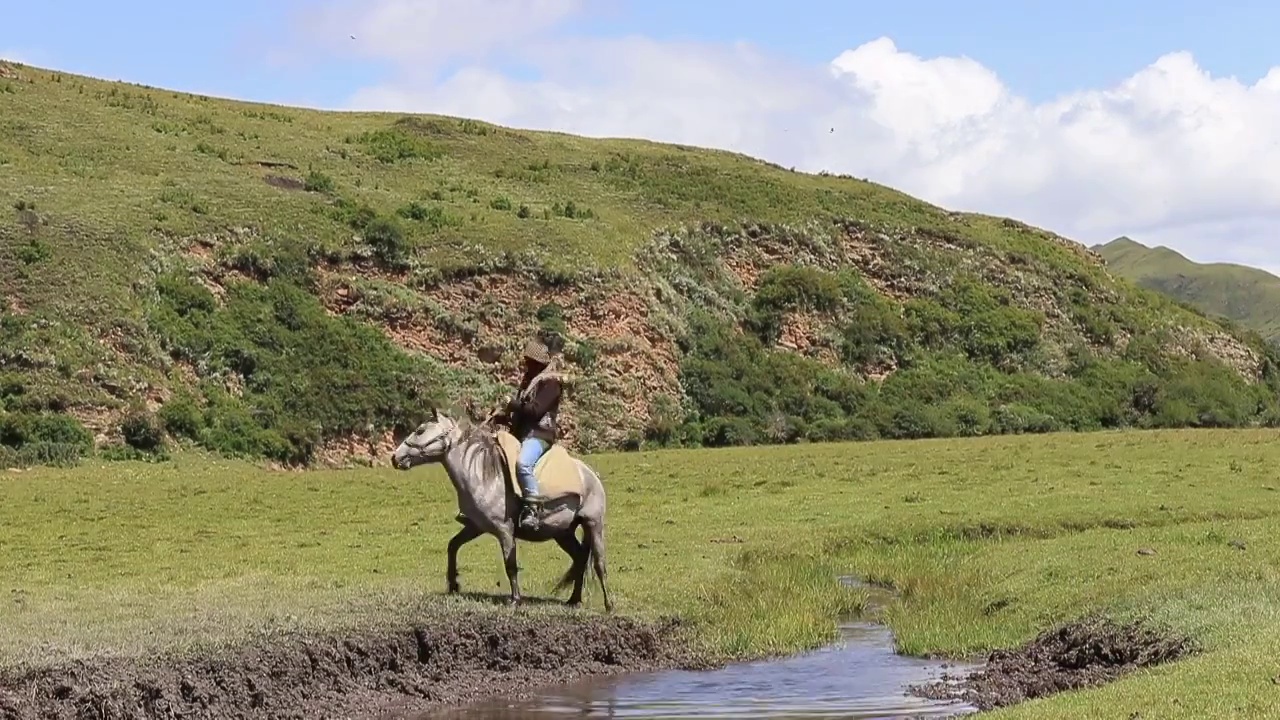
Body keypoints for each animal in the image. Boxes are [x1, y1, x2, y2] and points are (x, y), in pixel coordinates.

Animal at [386, 407, 611, 607]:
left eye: (420, 430)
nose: (395, 457)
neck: (484, 474)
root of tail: (589, 474)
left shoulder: (505, 530)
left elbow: (510, 565)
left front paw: (515, 600)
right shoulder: (475, 526)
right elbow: (453, 546)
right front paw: (453, 584)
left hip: (593, 523)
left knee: (599, 563)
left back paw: (608, 605)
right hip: (562, 532)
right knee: (580, 558)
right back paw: (574, 600)